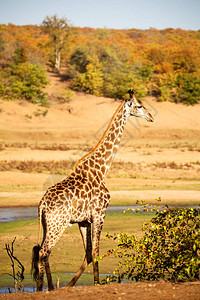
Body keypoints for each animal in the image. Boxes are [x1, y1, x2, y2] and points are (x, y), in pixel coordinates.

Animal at [31, 89, 154, 290]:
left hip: (47, 224)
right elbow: (95, 251)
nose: (150, 117)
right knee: (44, 251)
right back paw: (45, 288)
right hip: (58, 224)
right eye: (139, 105)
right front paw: (96, 284)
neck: (102, 169)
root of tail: (42, 204)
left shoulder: (83, 221)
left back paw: (46, 287)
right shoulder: (99, 213)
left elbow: (88, 253)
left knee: (42, 251)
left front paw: (70, 285)